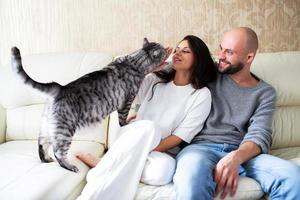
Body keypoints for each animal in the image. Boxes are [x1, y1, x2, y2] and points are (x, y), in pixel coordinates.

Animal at [10, 38, 168, 173]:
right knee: (58, 152)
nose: (167, 49)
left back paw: (45, 159)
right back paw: (69, 166)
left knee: (42, 142)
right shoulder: (126, 102)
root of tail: (60, 88)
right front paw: (126, 124)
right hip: (65, 129)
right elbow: (123, 119)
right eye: (163, 50)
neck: (133, 62)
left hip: (49, 126)